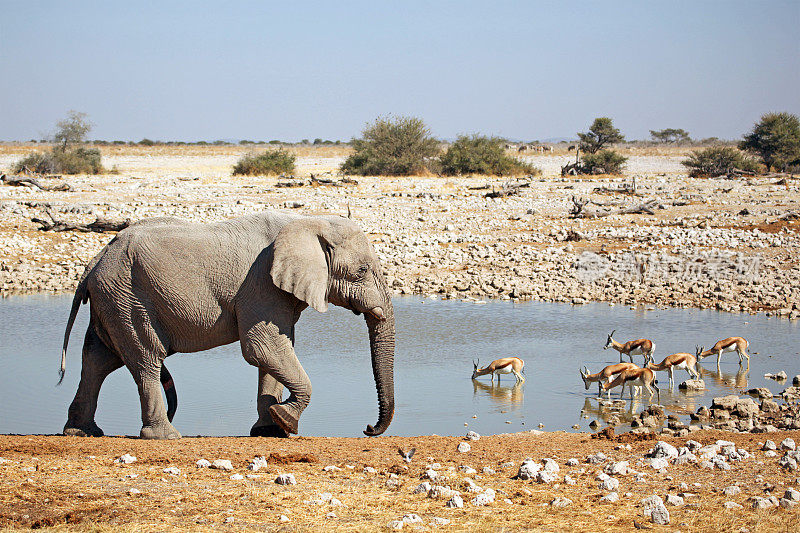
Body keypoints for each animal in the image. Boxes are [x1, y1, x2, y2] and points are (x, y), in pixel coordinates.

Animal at [57, 210, 396, 438]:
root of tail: (94, 261)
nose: (367, 428)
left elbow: (276, 350)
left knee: (98, 359)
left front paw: (270, 429)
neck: (309, 222)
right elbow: (263, 347)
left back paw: (82, 432)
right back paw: (164, 436)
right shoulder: (261, 284)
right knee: (145, 359)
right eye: (361, 271)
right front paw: (285, 419)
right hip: (126, 296)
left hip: (113, 298)